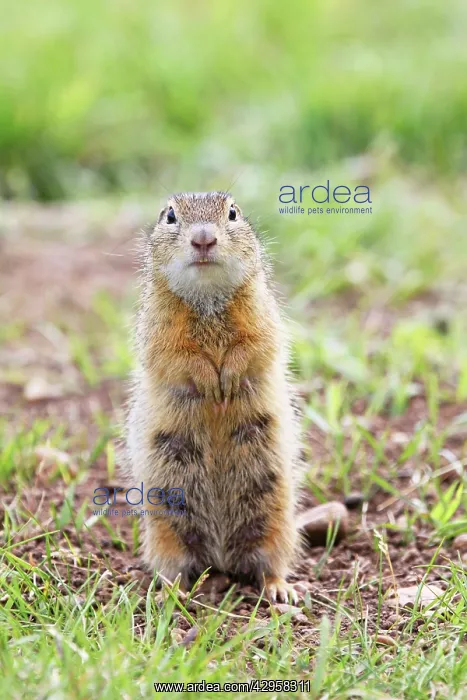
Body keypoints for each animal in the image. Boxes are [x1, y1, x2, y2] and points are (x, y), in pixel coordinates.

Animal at [125, 191, 304, 603]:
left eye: (233, 212)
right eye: (170, 215)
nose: (204, 239)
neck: (207, 298)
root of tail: (220, 557)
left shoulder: (262, 313)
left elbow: (257, 345)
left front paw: (229, 379)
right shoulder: (157, 327)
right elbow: (176, 356)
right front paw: (210, 381)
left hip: (276, 518)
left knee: (268, 563)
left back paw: (280, 589)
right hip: (165, 528)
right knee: (174, 567)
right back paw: (171, 593)